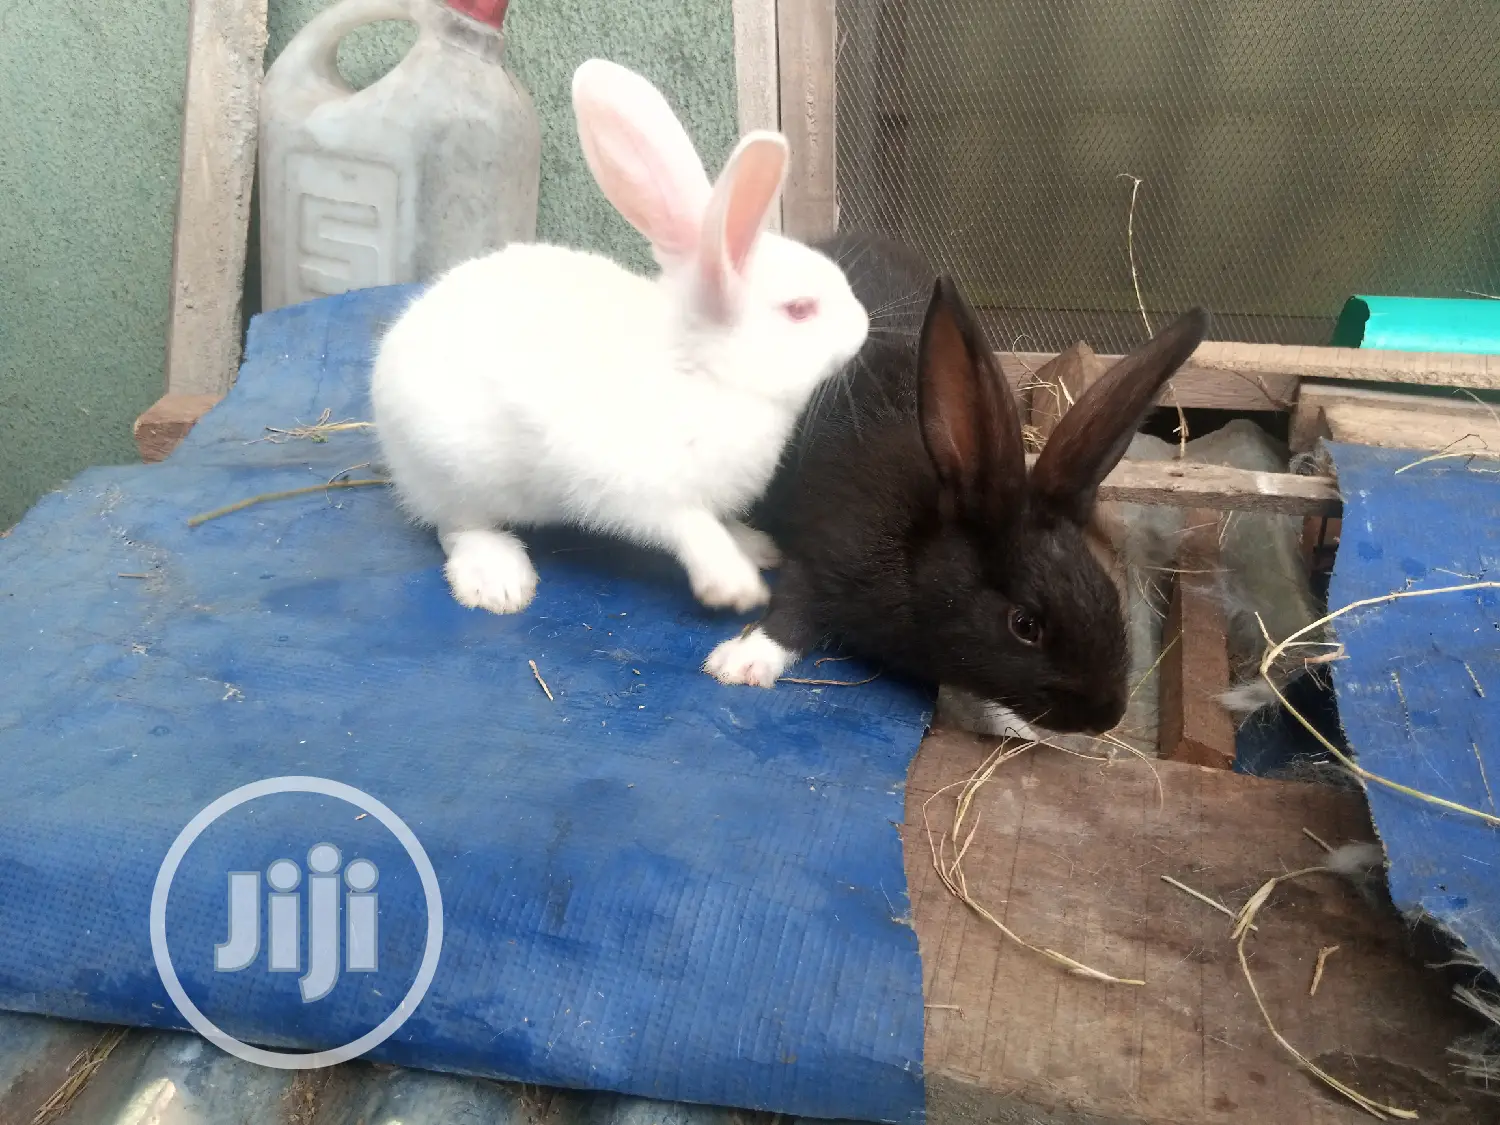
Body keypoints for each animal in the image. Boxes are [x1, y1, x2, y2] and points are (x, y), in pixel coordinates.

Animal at [370, 59, 869, 616]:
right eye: (800, 310)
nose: (863, 325)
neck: (705, 373)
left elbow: (718, 521)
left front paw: (753, 547)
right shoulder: (637, 487)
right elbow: (690, 527)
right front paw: (735, 586)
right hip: (452, 471)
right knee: (456, 525)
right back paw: (497, 581)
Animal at [704, 231, 1208, 736]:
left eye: (1109, 594)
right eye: (1024, 625)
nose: (1107, 715)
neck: (917, 547)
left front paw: (1013, 727)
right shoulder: (821, 555)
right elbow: (792, 611)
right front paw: (741, 664)